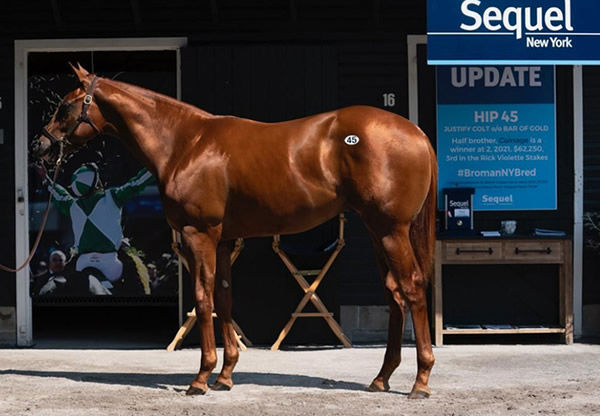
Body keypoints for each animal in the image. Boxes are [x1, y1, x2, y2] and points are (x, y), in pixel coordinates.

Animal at [31, 65, 436, 400]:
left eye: (65, 107)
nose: (41, 145)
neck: (185, 143)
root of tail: (415, 132)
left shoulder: (199, 236)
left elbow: (202, 299)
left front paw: (200, 378)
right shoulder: (224, 241)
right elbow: (223, 299)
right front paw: (225, 376)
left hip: (391, 230)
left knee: (413, 288)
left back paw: (420, 382)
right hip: (378, 231)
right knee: (395, 294)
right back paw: (381, 378)